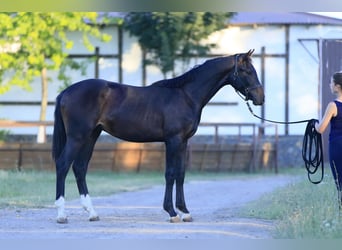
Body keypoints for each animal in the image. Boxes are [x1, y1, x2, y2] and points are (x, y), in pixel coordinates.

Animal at [51, 48, 264, 223]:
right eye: (246, 71)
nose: (261, 98)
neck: (186, 96)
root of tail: (65, 92)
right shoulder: (173, 140)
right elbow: (170, 174)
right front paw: (171, 212)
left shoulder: (183, 142)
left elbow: (181, 174)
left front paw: (185, 212)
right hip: (77, 137)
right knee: (63, 165)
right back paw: (61, 215)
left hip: (91, 135)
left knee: (80, 168)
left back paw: (92, 213)